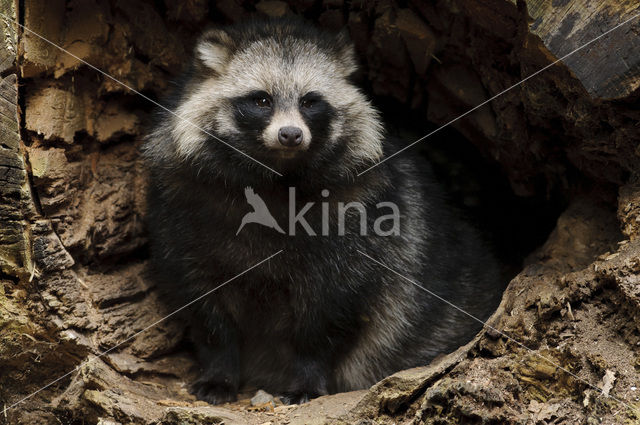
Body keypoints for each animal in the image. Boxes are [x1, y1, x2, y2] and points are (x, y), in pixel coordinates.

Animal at [142, 18, 502, 402]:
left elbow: (327, 312)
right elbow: (201, 300)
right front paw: (219, 368)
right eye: (261, 99)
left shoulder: (360, 222)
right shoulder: (181, 210)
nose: (290, 134)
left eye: (310, 101)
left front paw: (308, 375)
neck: (276, 177)